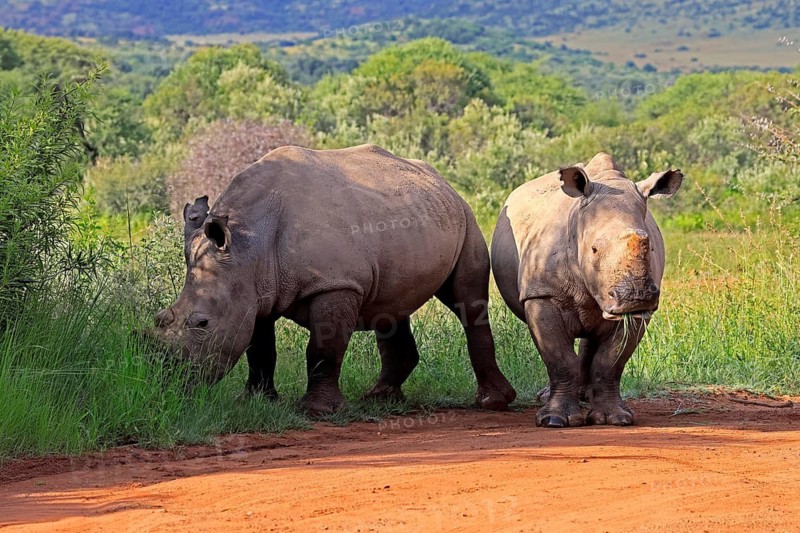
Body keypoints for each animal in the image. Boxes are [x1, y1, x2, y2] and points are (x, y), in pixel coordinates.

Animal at [153, 144, 516, 415]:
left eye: (202, 324)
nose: (169, 382)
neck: (246, 246)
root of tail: (443, 181)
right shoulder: (253, 292)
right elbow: (259, 349)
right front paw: (254, 401)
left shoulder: (335, 284)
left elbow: (323, 347)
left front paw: (316, 411)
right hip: (415, 217)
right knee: (391, 308)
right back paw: (379, 399)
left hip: (467, 218)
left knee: (467, 300)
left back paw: (492, 403)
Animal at [491, 153, 682, 427]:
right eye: (593, 249)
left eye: (651, 247)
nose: (635, 297)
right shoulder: (542, 294)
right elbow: (559, 359)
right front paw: (554, 420)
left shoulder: (638, 312)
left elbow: (609, 363)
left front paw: (615, 419)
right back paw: (550, 399)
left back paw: (585, 398)